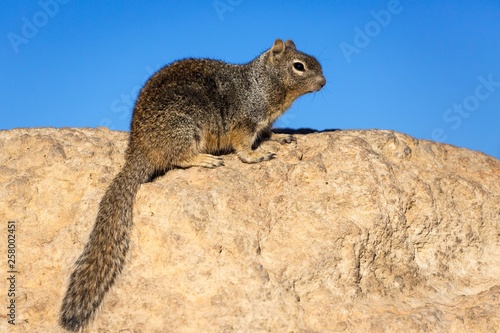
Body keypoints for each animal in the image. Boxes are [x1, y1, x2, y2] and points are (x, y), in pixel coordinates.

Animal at [60, 39, 326, 330]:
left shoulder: (262, 122)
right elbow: (243, 146)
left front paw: (280, 137)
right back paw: (205, 159)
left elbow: (267, 133)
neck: (263, 84)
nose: (324, 82)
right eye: (299, 66)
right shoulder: (245, 120)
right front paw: (256, 155)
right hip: (186, 126)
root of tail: (138, 150)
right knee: (178, 158)